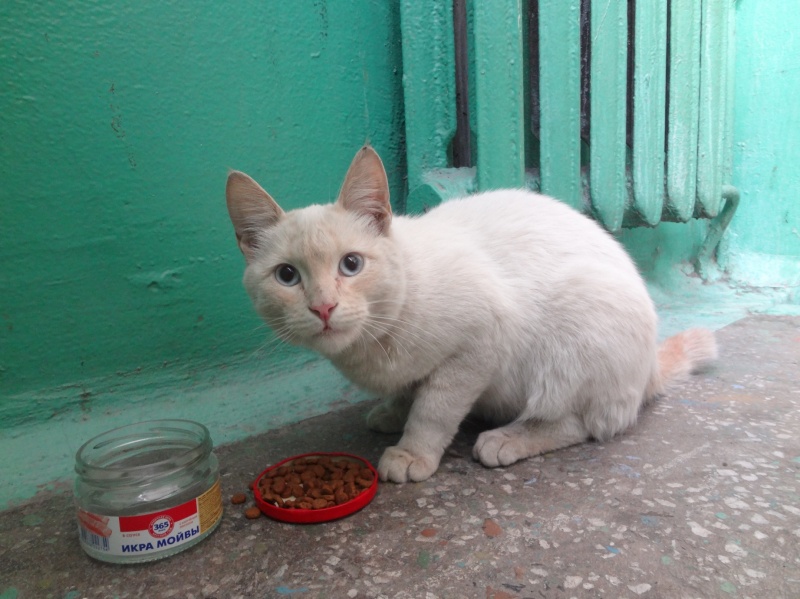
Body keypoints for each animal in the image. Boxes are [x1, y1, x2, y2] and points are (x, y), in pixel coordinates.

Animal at [225, 145, 717, 483]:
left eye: (351, 264)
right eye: (287, 276)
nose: (323, 306)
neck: (376, 340)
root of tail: (650, 366)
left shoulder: (479, 345)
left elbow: (435, 409)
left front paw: (412, 451)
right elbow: (409, 391)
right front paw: (393, 412)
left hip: (576, 326)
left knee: (585, 422)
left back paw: (508, 438)